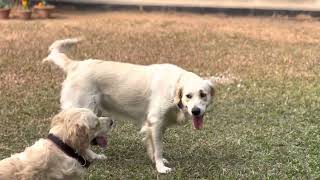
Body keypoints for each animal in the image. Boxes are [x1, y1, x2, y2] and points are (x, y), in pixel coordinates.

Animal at [43, 38, 215, 173]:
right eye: (188, 96)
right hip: (84, 111)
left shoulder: (155, 125)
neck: (174, 87)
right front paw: (160, 168)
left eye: (203, 94)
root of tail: (75, 65)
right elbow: (159, 148)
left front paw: (155, 160)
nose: (196, 111)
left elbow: (153, 146)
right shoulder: (156, 121)